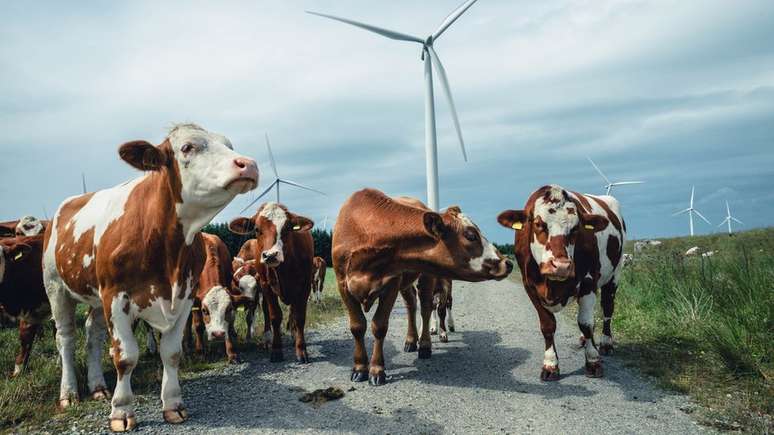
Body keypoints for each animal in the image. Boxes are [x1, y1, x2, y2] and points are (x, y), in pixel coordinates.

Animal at [43, 123, 258, 432]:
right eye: (187, 147)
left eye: (229, 145)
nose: (248, 164)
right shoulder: (116, 296)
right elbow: (125, 356)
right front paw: (121, 411)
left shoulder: (185, 295)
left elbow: (171, 352)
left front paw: (173, 405)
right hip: (56, 288)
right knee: (66, 339)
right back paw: (69, 393)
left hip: (96, 297)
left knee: (92, 334)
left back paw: (98, 387)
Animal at [227, 204, 316, 364]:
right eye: (257, 229)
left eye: (287, 228)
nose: (271, 255)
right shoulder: (266, 286)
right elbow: (275, 316)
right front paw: (276, 350)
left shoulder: (304, 286)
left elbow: (299, 317)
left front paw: (301, 349)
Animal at [334, 189, 516, 386]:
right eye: (470, 235)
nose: (507, 263)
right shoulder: (342, 284)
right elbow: (357, 326)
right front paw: (360, 368)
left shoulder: (392, 283)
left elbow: (379, 326)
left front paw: (376, 369)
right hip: (407, 284)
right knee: (411, 305)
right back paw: (411, 340)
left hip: (426, 276)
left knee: (426, 309)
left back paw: (424, 345)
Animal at [500, 184, 628, 382]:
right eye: (538, 224)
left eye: (576, 228)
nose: (561, 266)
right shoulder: (530, 286)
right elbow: (547, 325)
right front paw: (551, 364)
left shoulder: (588, 282)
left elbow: (586, 323)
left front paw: (593, 361)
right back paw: (583, 340)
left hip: (615, 274)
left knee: (607, 308)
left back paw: (606, 343)